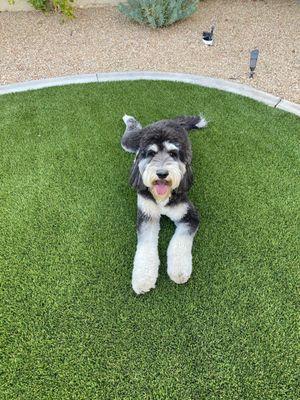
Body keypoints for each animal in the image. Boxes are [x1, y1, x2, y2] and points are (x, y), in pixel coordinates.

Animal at [120, 114, 207, 296]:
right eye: (151, 153)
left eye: (173, 154)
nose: (161, 174)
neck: (162, 198)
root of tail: (169, 121)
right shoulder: (147, 215)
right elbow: (146, 246)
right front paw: (143, 279)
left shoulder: (189, 216)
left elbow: (179, 243)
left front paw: (179, 271)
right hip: (131, 141)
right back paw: (129, 120)